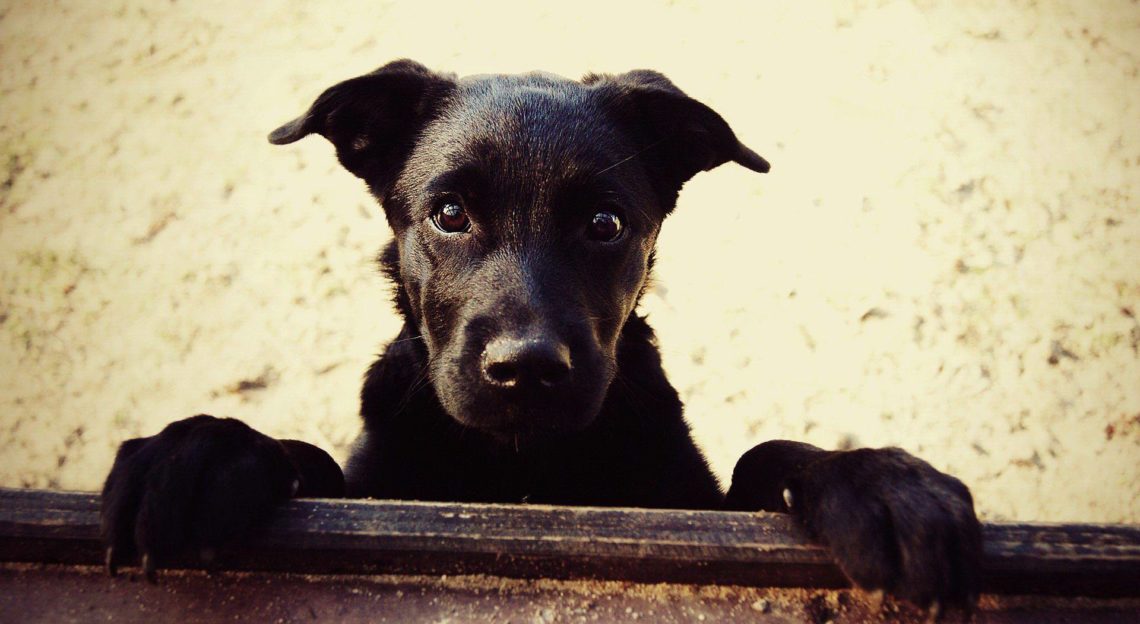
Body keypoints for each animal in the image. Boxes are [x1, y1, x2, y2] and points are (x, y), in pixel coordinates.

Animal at [100, 62, 980, 611]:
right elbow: (309, 458)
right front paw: (203, 448)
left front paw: (882, 485)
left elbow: (766, 456)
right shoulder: (373, 482)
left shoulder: (691, 501)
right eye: (449, 213)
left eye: (605, 224)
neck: (522, 466)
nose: (525, 369)